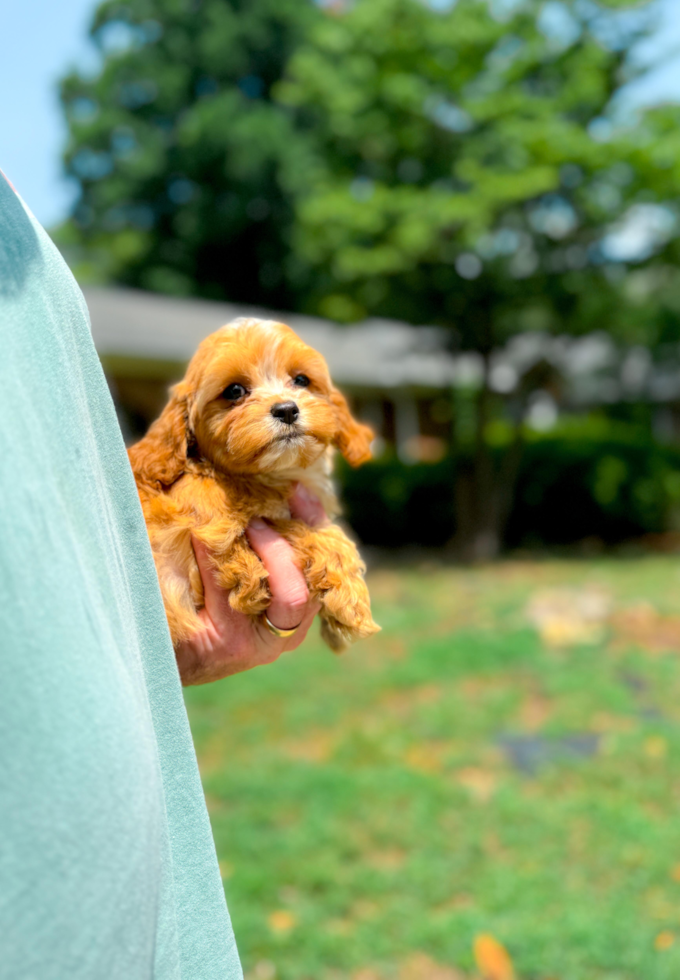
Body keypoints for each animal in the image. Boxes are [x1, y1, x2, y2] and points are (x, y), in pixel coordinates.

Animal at [130, 320, 380, 652]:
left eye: (301, 380)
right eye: (234, 391)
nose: (286, 409)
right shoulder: (209, 522)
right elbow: (308, 529)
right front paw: (350, 602)